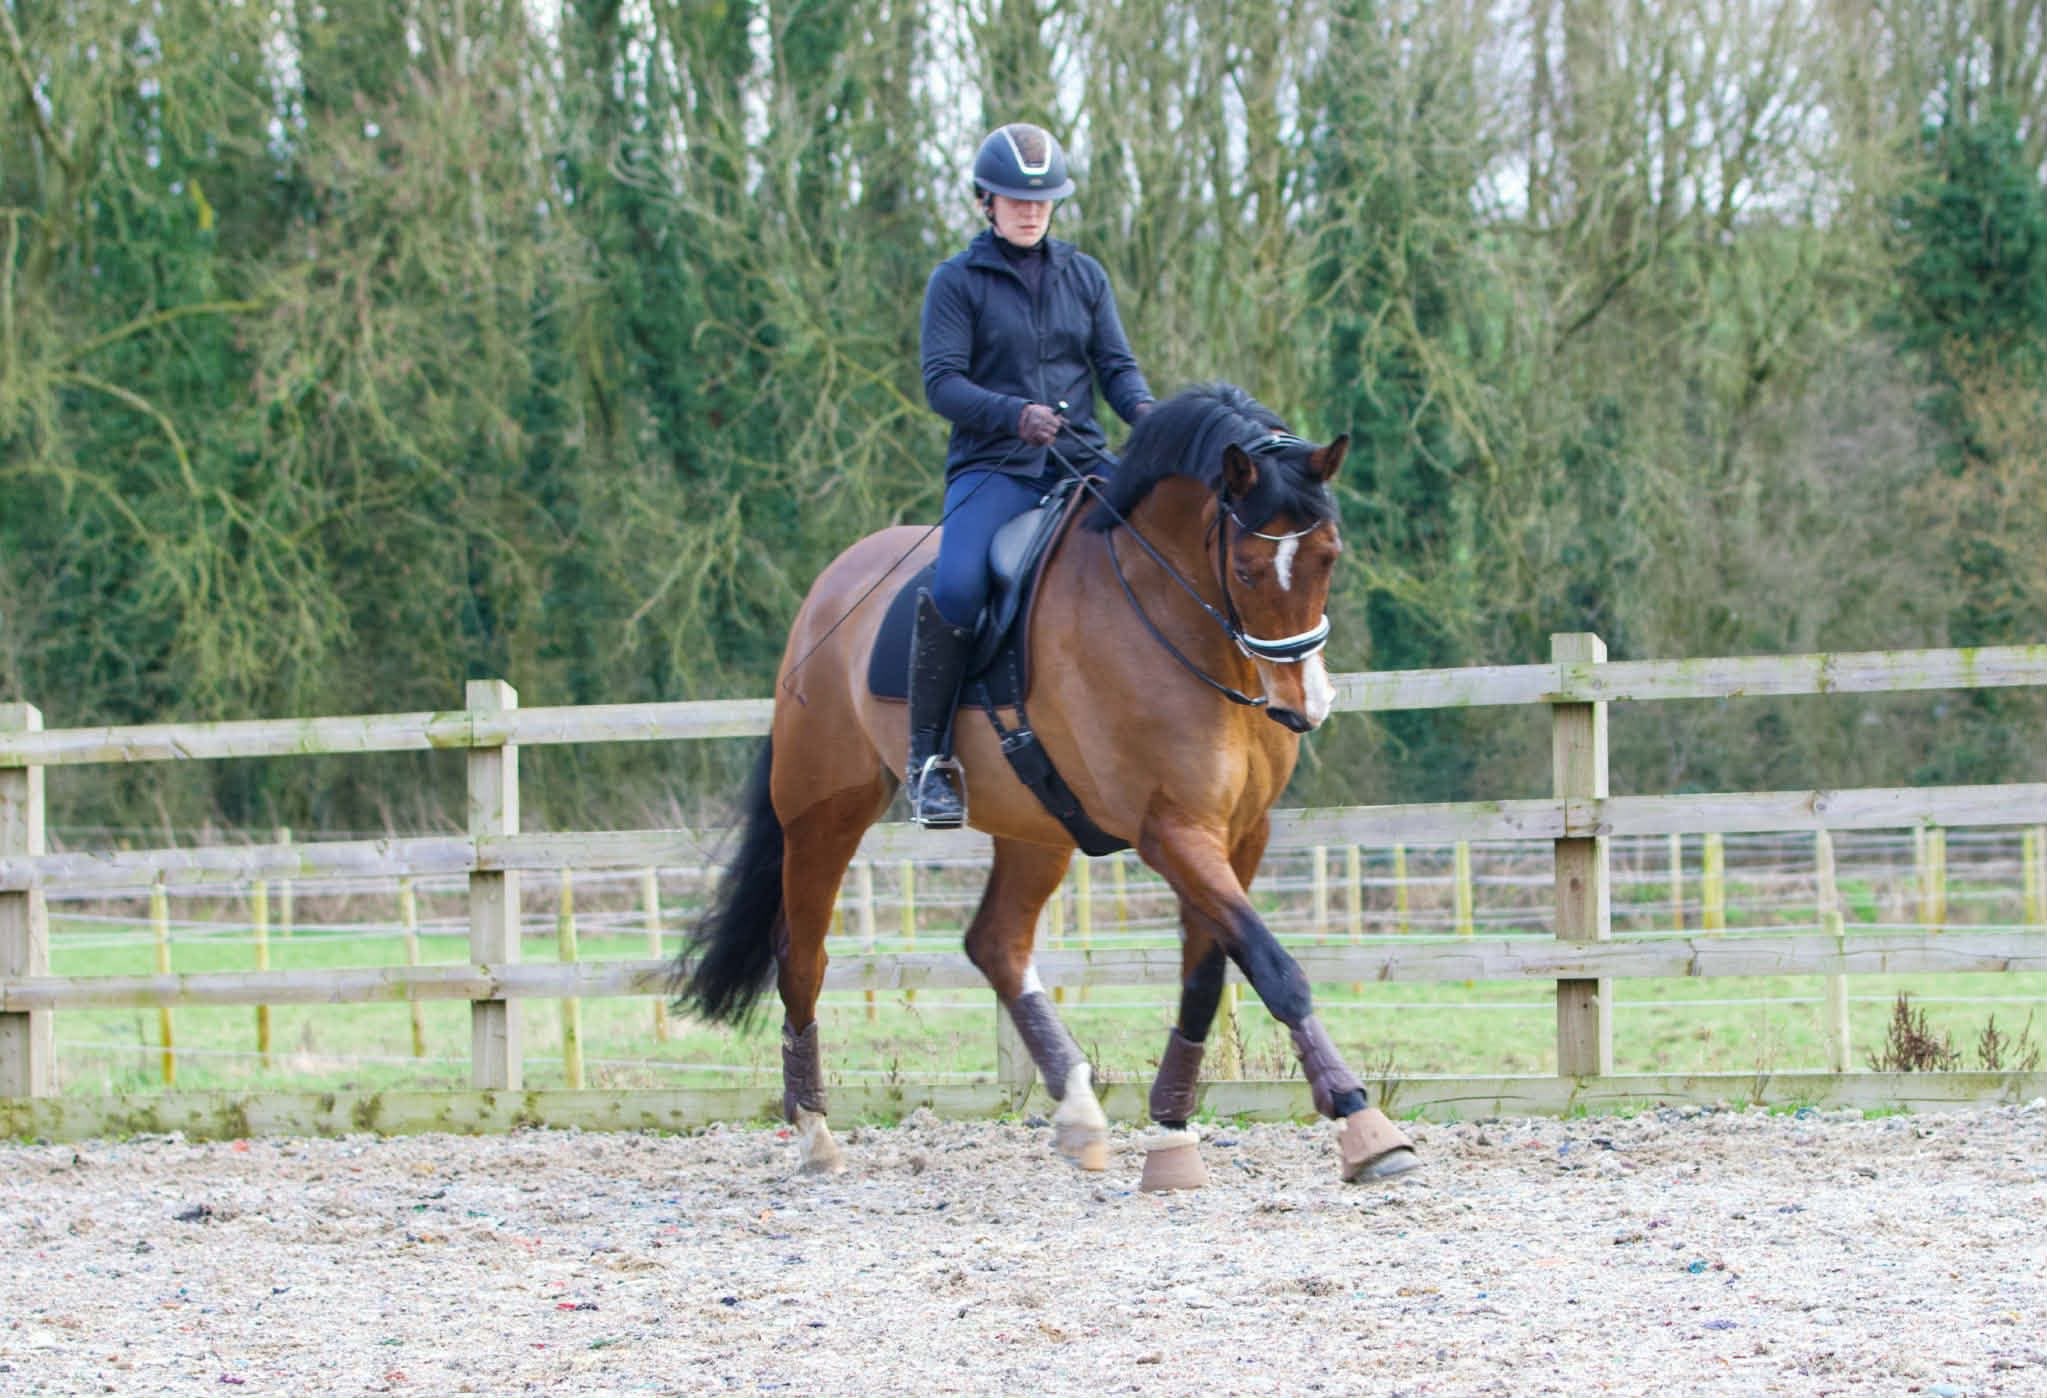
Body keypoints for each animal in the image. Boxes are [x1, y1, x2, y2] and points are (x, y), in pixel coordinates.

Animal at [676, 383, 1418, 1187]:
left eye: (1328, 556)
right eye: (1248, 569)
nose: (1300, 706)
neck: (1175, 619)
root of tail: (830, 586)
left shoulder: (1239, 831)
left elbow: (1209, 973)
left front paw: (1171, 1132)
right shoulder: (1170, 830)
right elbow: (1274, 966)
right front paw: (1363, 1123)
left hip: (1036, 828)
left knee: (995, 944)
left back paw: (1078, 1112)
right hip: (823, 813)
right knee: (802, 958)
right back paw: (814, 1131)